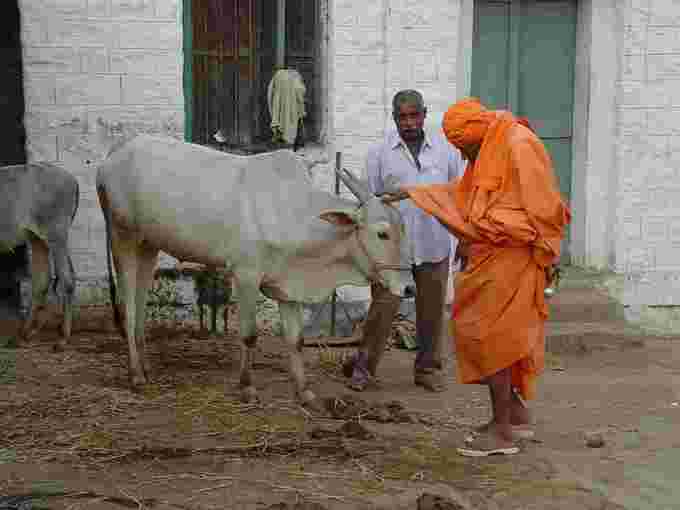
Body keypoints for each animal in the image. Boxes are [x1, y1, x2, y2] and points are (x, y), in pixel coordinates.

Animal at [97, 134, 412, 406]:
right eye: (382, 234)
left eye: (403, 229)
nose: (408, 287)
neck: (292, 214)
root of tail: (115, 153)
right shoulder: (246, 276)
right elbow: (249, 335)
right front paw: (247, 387)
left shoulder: (288, 287)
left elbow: (296, 340)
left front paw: (303, 391)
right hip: (122, 237)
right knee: (128, 308)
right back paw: (135, 375)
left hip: (147, 244)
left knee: (139, 302)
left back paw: (146, 366)